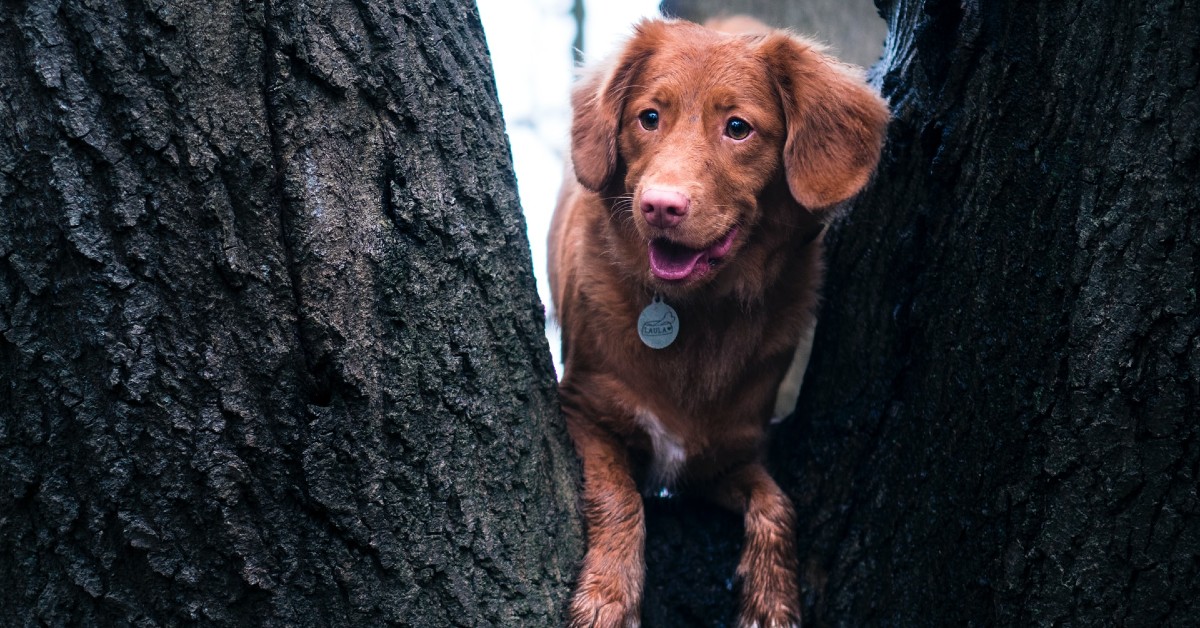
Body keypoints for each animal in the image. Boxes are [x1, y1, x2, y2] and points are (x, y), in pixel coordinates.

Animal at [549, 17, 888, 624]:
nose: (661, 206)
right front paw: (609, 596)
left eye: (737, 128)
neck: (697, 310)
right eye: (649, 117)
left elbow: (778, 503)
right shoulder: (582, 409)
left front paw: (772, 601)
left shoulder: (724, 456)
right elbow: (619, 493)